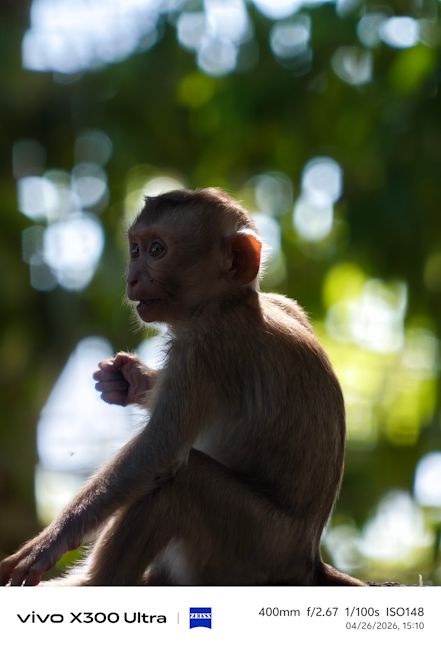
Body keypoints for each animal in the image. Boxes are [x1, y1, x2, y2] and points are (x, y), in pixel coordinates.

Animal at [0, 187, 364, 587]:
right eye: (135, 249)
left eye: (157, 250)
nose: (132, 278)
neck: (232, 302)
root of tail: (309, 563)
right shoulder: (283, 302)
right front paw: (131, 380)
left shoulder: (205, 349)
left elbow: (158, 452)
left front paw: (48, 544)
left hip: (255, 550)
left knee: (184, 481)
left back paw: (91, 584)